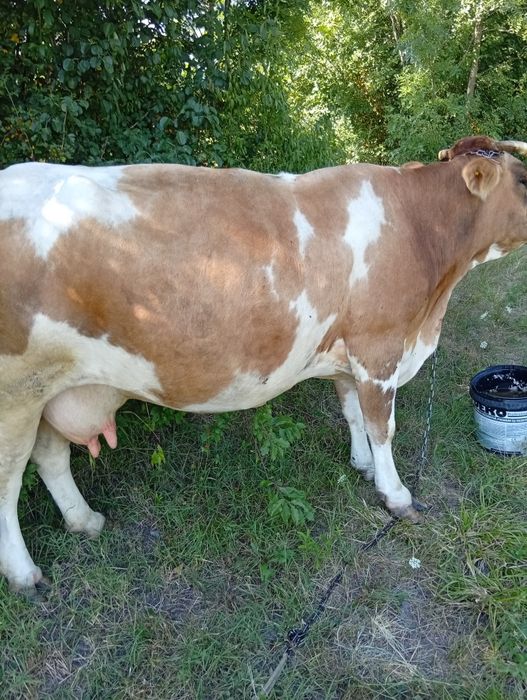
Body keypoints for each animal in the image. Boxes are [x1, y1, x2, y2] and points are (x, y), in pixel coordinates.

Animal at [0, 135, 526, 593]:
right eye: (523, 179)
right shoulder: (379, 347)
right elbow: (382, 426)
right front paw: (396, 495)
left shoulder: (348, 356)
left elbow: (352, 412)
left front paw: (361, 465)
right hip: (15, 397)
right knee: (8, 481)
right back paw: (25, 574)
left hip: (51, 388)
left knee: (50, 457)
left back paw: (84, 520)